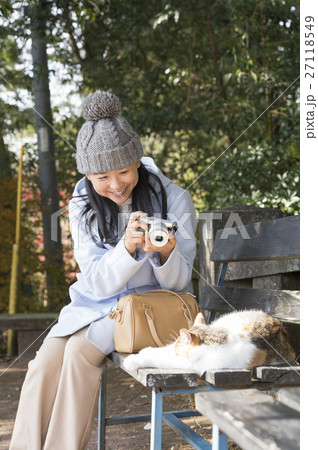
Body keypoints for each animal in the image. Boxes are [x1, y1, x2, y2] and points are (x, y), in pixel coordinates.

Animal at [123, 310, 296, 376]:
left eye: (180, 345)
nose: (176, 348)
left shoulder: (188, 363)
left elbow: (159, 358)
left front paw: (134, 359)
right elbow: (161, 350)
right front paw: (145, 351)